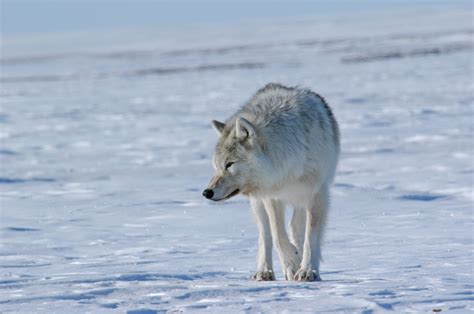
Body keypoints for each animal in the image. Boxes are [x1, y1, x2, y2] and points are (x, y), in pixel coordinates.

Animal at [202, 83, 338, 282]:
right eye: (217, 166)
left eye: (229, 164)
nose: (206, 192)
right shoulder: (272, 196)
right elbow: (277, 235)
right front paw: (292, 263)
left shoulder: (317, 195)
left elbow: (310, 238)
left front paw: (307, 270)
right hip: (258, 202)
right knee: (265, 235)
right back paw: (265, 271)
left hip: (301, 199)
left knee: (295, 227)